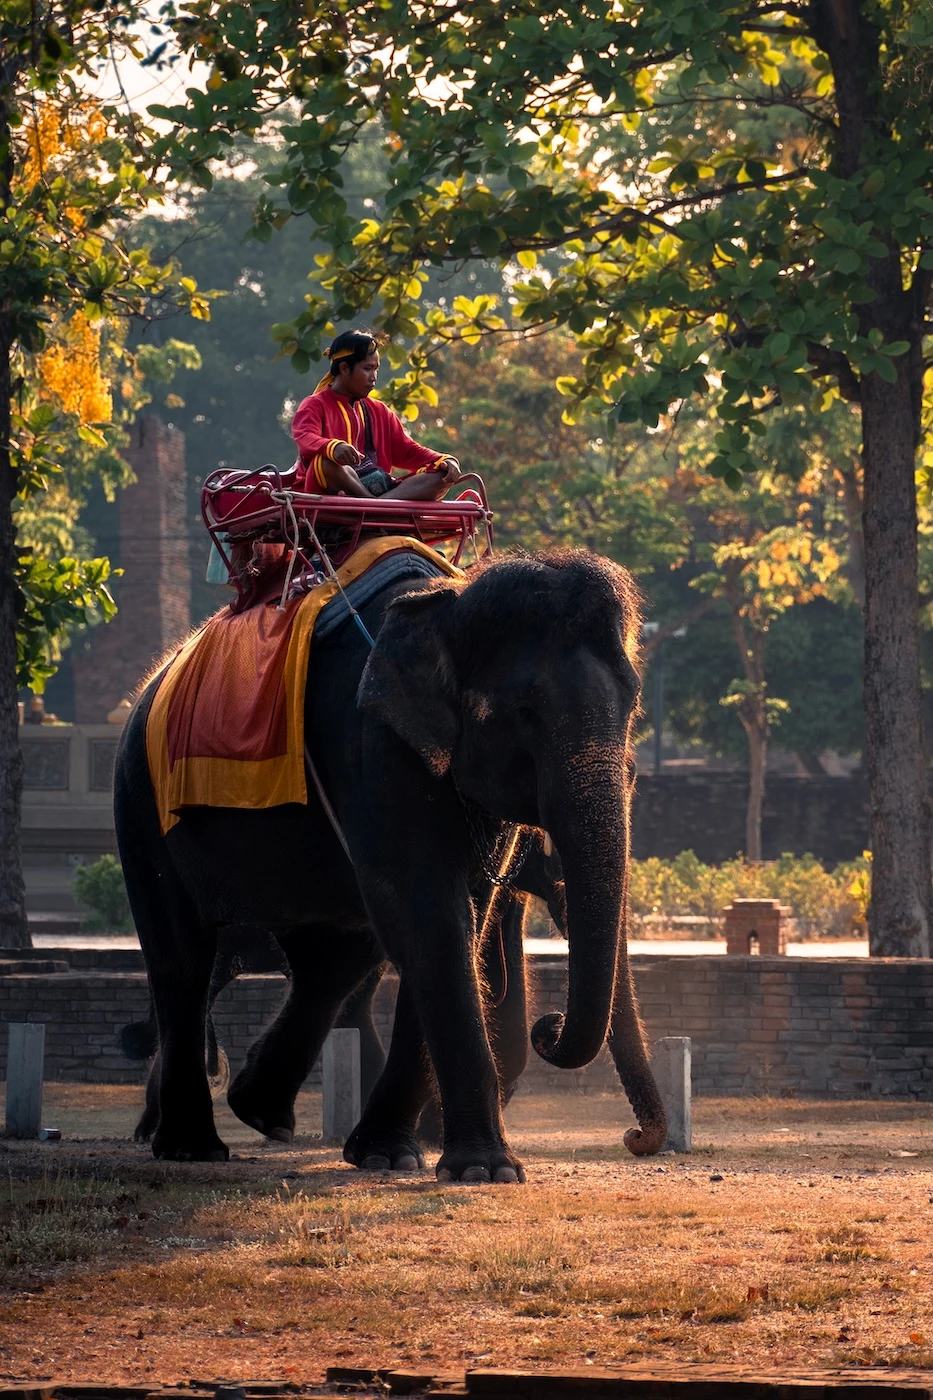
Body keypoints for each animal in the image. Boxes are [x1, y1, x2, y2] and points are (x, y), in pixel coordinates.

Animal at [113, 548, 666, 1179]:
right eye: (525, 711)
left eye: (633, 704)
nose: (634, 1138)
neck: (449, 603)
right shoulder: (371, 746)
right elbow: (429, 915)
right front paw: (486, 1170)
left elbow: (461, 921)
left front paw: (391, 1156)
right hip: (141, 801)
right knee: (181, 956)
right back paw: (191, 1147)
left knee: (333, 962)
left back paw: (261, 1114)